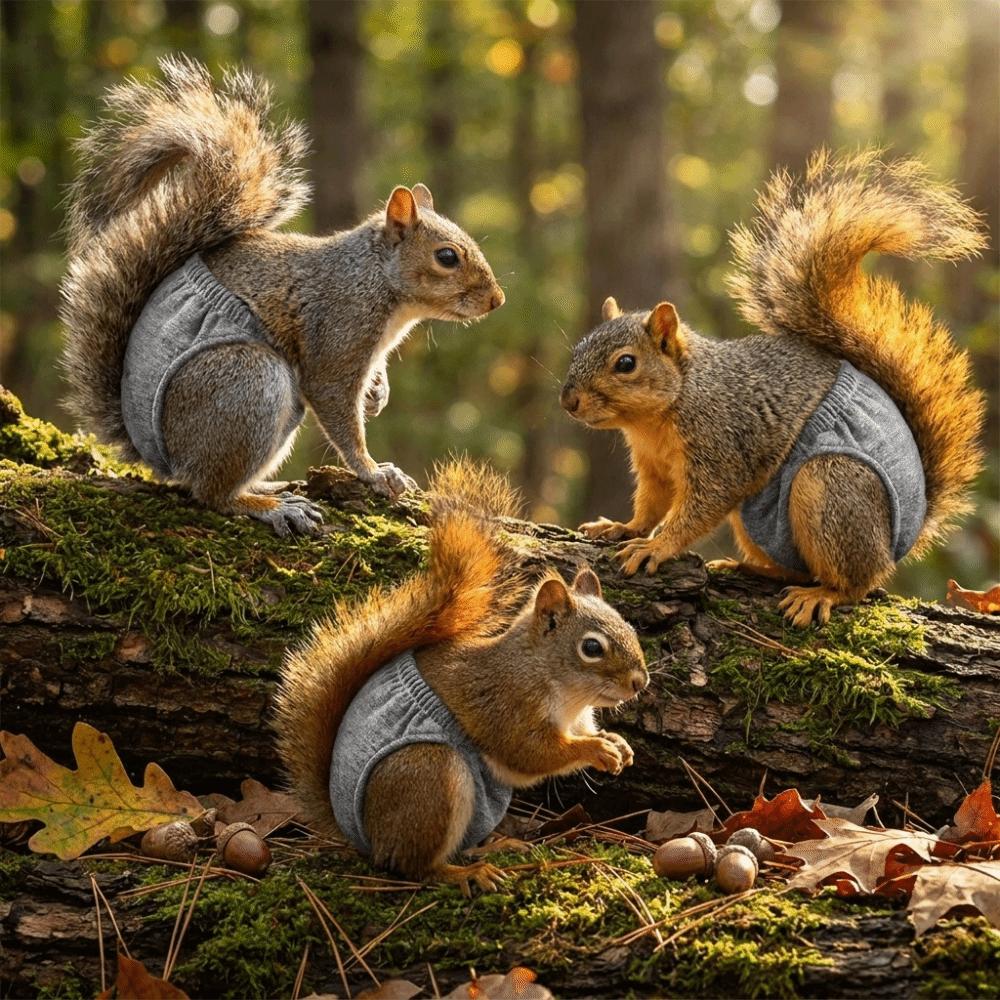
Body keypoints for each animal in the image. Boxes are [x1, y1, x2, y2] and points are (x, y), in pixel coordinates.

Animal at [59, 56, 504, 536]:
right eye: (447, 256)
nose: (497, 300)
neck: (378, 283)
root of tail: (160, 455)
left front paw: (378, 392)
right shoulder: (339, 331)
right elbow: (338, 412)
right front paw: (373, 472)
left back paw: (270, 487)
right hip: (250, 383)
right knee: (210, 493)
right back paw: (271, 506)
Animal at [273, 460, 649, 892]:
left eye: (630, 626)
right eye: (591, 647)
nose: (640, 682)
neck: (564, 691)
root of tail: (363, 833)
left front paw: (618, 744)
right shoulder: (505, 705)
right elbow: (533, 753)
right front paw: (596, 750)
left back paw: (495, 847)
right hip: (430, 775)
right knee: (414, 865)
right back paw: (466, 872)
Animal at [560, 149, 986, 627]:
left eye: (626, 364)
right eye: (578, 348)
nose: (568, 400)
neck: (664, 411)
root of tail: (904, 536)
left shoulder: (723, 448)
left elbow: (698, 509)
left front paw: (655, 547)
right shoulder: (653, 465)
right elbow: (652, 502)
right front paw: (623, 527)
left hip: (831, 488)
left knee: (859, 581)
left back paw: (822, 594)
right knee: (797, 567)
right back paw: (750, 567)